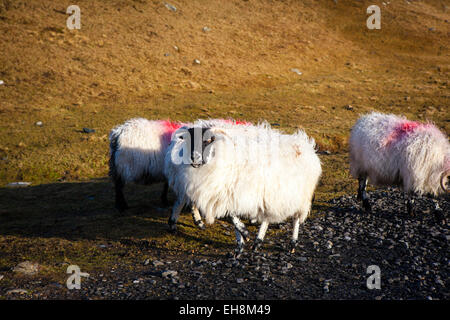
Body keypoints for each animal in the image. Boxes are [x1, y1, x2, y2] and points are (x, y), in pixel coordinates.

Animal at [163, 122, 322, 252]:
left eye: (207, 141)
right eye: (188, 141)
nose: (194, 158)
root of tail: (306, 144)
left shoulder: (239, 194)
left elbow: (231, 215)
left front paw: (244, 234)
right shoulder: (226, 195)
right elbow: (232, 216)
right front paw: (241, 240)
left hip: (300, 197)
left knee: (295, 219)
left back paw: (291, 243)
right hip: (272, 195)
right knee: (268, 217)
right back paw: (258, 241)